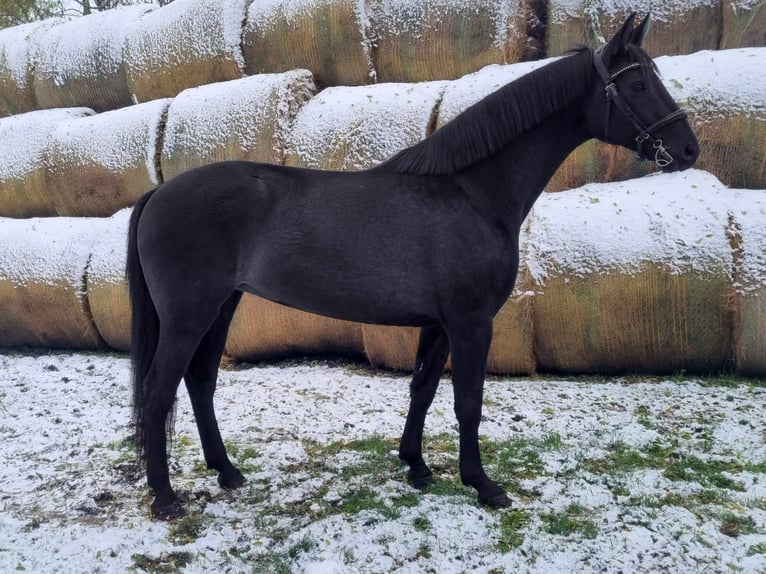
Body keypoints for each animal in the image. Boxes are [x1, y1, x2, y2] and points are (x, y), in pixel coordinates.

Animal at [127, 13, 704, 520]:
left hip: (222, 306)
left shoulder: (440, 324)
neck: (471, 193)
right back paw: (165, 497)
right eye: (638, 85)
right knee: (159, 390)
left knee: (200, 381)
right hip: (190, 314)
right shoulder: (472, 323)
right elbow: (468, 401)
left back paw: (227, 472)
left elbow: (423, 389)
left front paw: (417, 466)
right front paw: (483, 484)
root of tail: (158, 193)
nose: (688, 148)